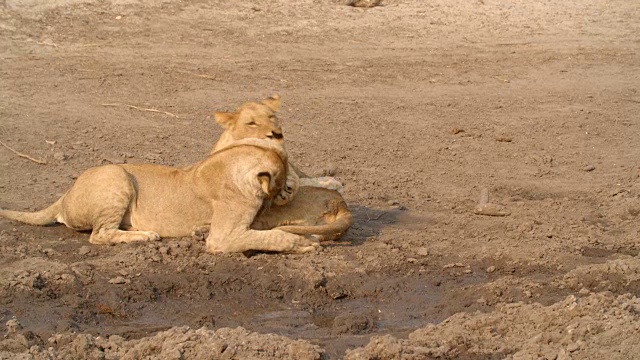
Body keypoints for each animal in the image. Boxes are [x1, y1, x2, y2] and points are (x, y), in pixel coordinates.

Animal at [0, 95, 352, 253]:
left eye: (272, 117)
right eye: (252, 122)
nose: (290, 190)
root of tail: (64, 195)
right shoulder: (223, 238)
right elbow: (274, 236)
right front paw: (301, 244)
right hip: (116, 176)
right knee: (100, 235)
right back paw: (145, 235)